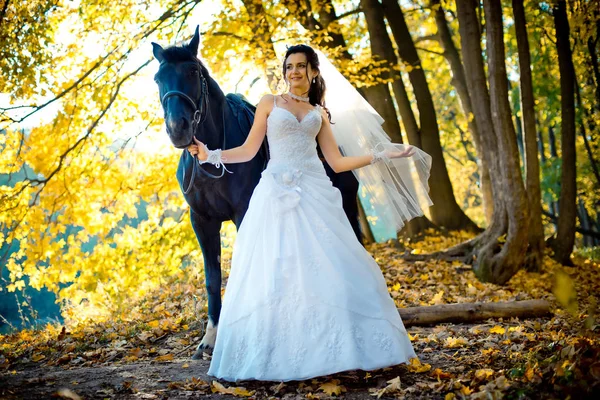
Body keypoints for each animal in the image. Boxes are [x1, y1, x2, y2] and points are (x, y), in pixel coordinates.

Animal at [152, 28, 358, 360]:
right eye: (158, 78)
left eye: (193, 71)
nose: (178, 129)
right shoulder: (202, 221)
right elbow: (212, 279)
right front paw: (209, 339)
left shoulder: (243, 213)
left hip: (347, 206)